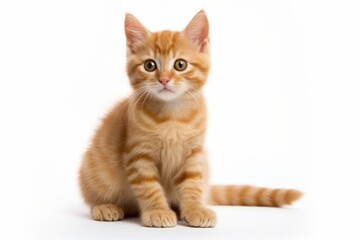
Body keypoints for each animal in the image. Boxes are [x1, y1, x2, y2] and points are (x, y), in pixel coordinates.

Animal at [78, 10, 300, 228]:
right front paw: (158, 211)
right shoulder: (139, 155)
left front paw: (194, 209)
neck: (172, 117)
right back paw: (105, 207)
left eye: (180, 64)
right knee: (95, 196)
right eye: (150, 65)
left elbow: (192, 183)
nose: (164, 79)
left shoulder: (194, 154)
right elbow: (148, 186)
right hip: (94, 171)